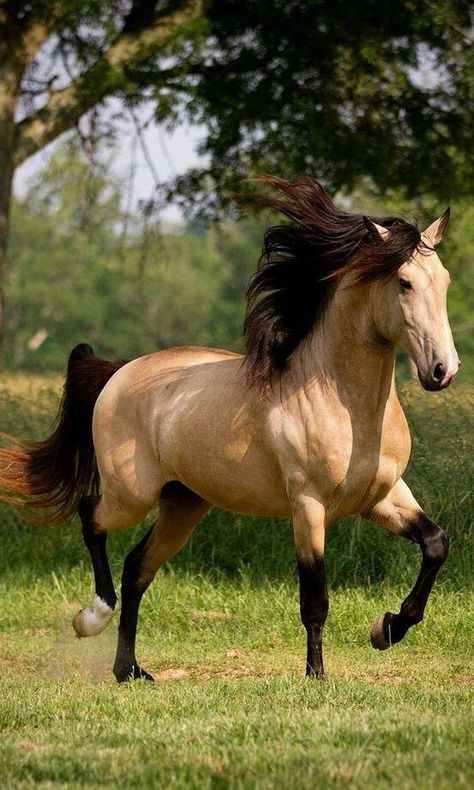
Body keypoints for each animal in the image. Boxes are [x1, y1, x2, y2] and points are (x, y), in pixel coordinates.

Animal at [0, 178, 460, 680]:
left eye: (445, 281)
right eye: (404, 282)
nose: (443, 371)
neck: (345, 405)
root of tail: (119, 373)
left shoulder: (383, 497)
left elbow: (435, 544)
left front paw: (387, 628)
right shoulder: (308, 507)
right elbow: (314, 599)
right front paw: (316, 675)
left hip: (183, 504)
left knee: (137, 567)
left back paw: (131, 670)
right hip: (131, 495)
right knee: (91, 517)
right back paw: (91, 619)